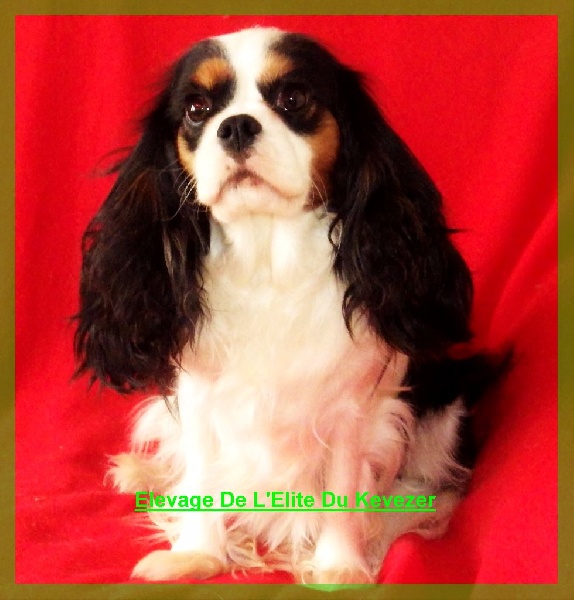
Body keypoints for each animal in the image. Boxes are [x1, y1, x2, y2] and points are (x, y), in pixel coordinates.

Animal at [74, 27, 503, 584]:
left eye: (294, 99)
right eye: (196, 109)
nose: (235, 125)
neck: (266, 261)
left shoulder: (352, 411)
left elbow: (344, 490)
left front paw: (340, 568)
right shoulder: (198, 395)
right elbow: (201, 472)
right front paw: (197, 554)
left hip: (444, 415)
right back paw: (142, 471)